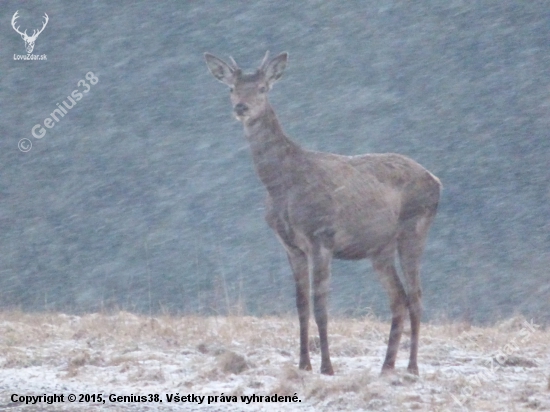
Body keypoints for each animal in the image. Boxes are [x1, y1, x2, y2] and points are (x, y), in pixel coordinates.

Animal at [205, 51, 442, 376]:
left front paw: (327, 367)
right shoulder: (291, 246)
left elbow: (321, 306)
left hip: (414, 229)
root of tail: (437, 181)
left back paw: (412, 367)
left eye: (263, 88)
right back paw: (386, 366)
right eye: (232, 88)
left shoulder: (321, 236)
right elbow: (301, 305)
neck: (283, 186)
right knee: (399, 299)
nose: (241, 107)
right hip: (379, 248)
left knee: (416, 297)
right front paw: (304, 364)